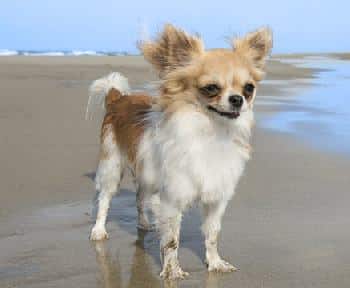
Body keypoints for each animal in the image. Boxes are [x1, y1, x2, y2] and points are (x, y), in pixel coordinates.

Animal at [86, 23, 272, 280]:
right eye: (211, 88)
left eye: (248, 88)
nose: (237, 99)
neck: (212, 132)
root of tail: (118, 98)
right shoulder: (172, 200)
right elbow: (172, 240)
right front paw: (172, 270)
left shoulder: (216, 199)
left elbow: (212, 234)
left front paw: (215, 263)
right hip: (112, 165)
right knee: (104, 199)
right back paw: (99, 229)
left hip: (147, 175)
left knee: (139, 198)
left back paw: (144, 223)